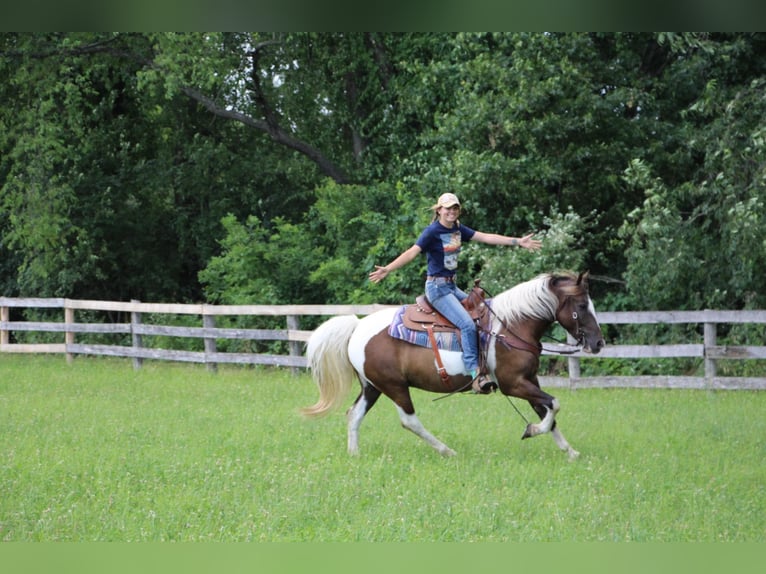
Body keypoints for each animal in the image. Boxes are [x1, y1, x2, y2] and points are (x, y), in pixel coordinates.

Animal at [300, 272, 608, 464]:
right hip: (394, 386)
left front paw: (570, 452)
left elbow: (547, 412)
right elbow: (554, 404)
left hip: (372, 386)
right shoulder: (514, 384)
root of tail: (357, 326)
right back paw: (447, 451)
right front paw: (531, 431)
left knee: (354, 415)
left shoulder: (530, 380)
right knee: (409, 421)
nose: (598, 343)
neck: (511, 326)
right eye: (582, 305)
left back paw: (355, 455)